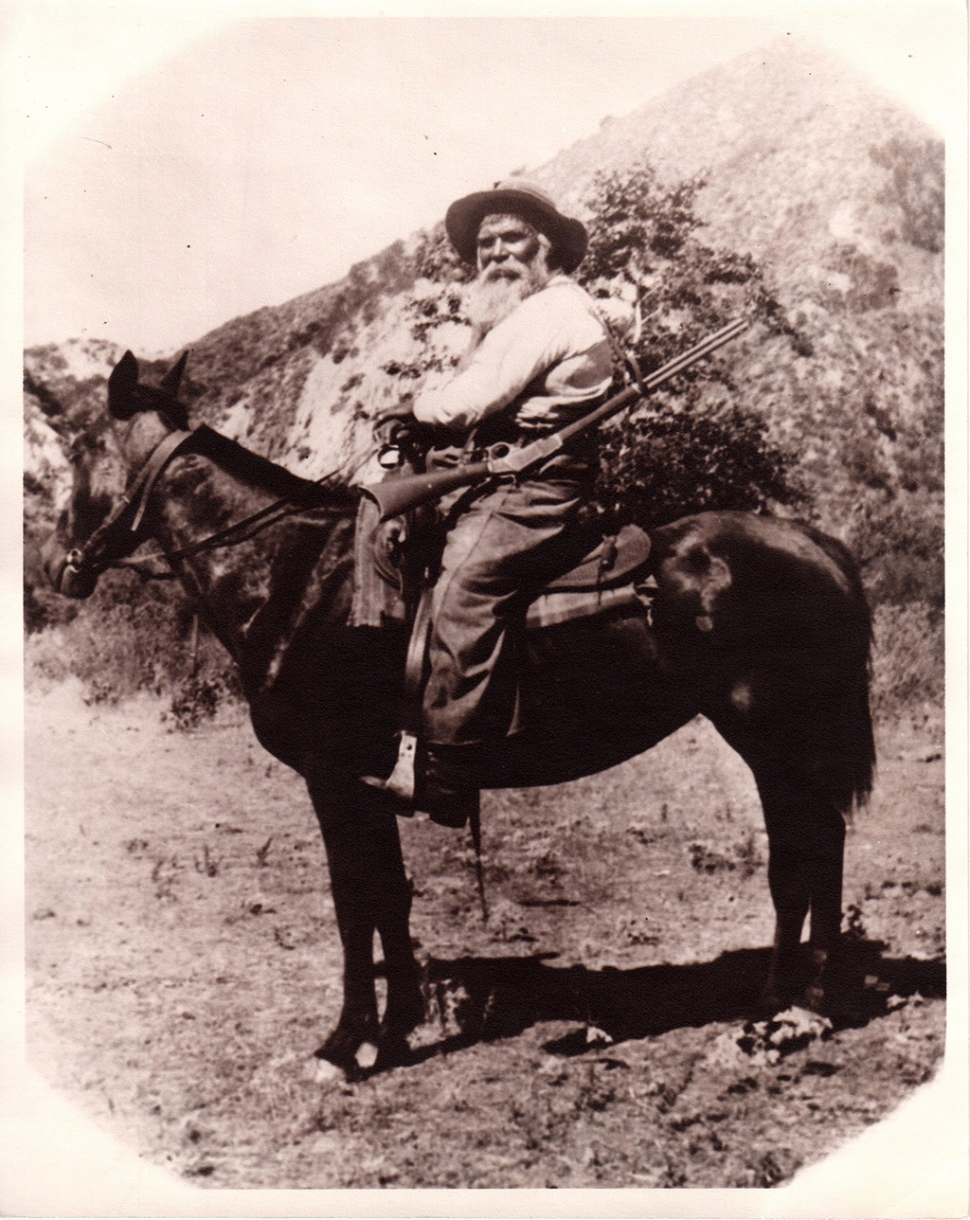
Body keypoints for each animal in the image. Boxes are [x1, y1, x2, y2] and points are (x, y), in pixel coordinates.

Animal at [41, 351, 878, 1068]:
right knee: (812, 849)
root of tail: (817, 544)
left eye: (79, 449)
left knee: (804, 853)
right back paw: (795, 1002)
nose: (53, 565)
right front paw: (397, 1027)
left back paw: (788, 1010)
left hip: (774, 738)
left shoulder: (331, 776)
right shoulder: (369, 782)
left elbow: (354, 901)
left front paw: (345, 1044)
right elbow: (388, 895)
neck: (298, 578)